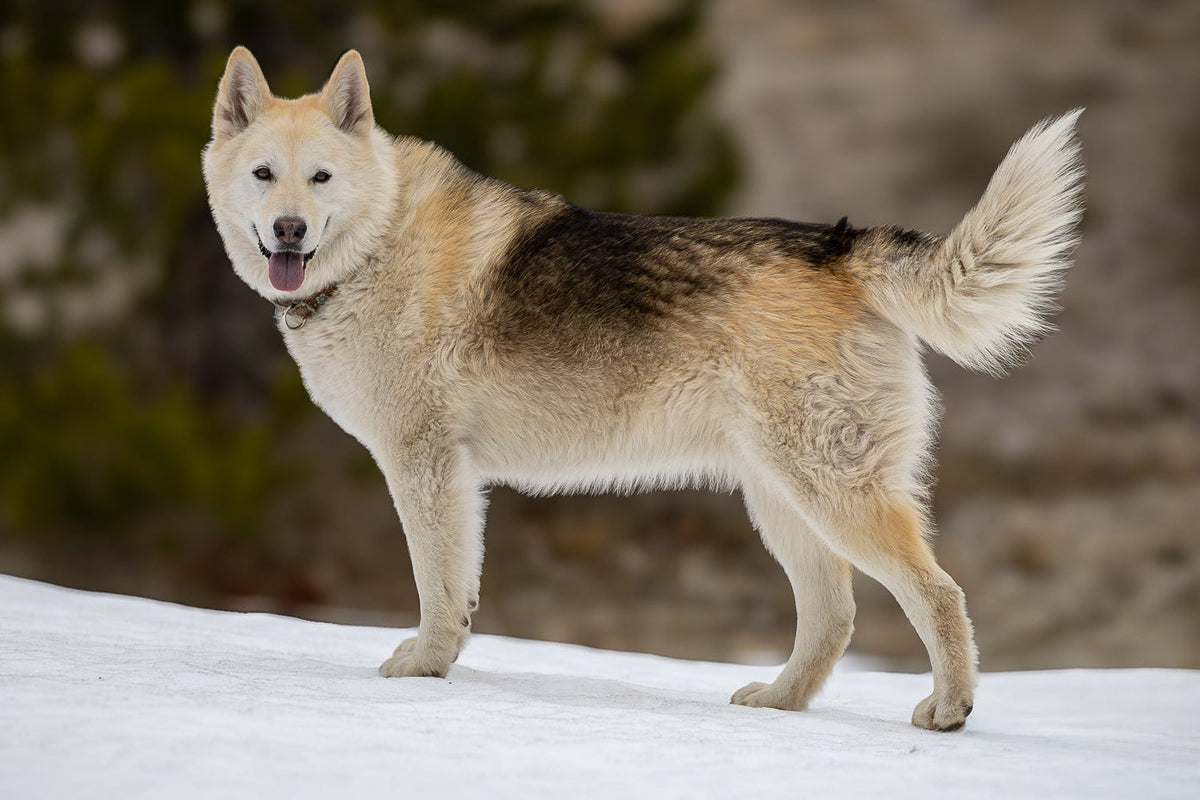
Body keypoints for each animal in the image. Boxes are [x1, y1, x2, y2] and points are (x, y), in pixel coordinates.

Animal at [203, 47, 1083, 731]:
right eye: (264, 175)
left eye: (320, 177)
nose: (288, 230)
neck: (379, 243)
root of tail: (841, 247)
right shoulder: (453, 476)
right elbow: (458, 587)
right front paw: (439, 660)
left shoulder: (424, 467)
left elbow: (437, 585)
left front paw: (423, 665)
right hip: (780, 502)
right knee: (835, 618)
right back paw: (778, 703)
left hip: (830, 495)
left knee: (939, 594)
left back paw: (949, 710)